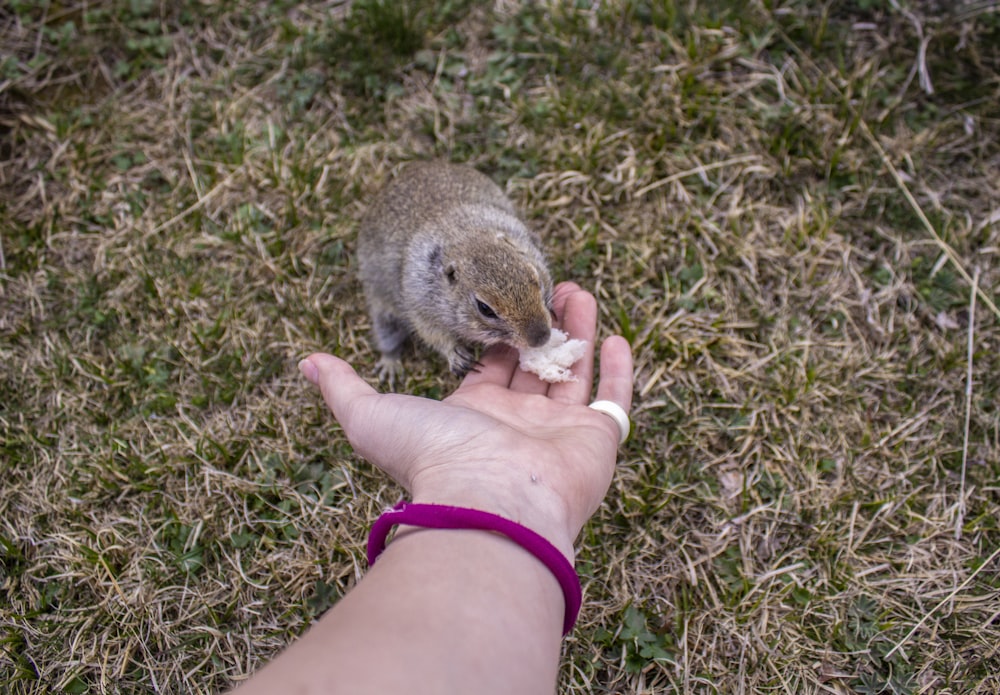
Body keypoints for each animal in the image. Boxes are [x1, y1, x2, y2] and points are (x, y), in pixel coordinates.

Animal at [358, 160, 556, 384]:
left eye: (536, 279)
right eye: (485, 309)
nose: (541, 337)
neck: (464, 238)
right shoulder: (420, 306)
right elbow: (432, 333)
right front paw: (457, 357)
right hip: (382, 310)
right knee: (387, 337)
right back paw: (389, 364)